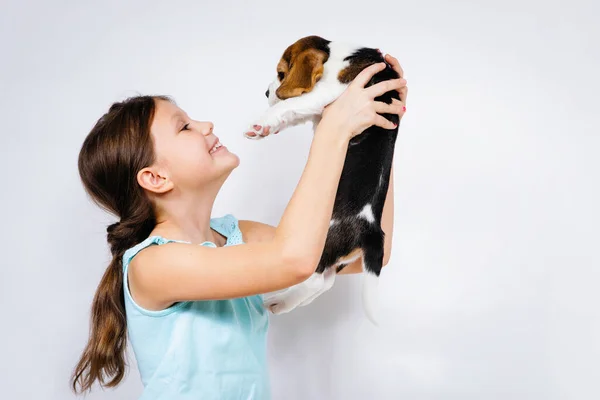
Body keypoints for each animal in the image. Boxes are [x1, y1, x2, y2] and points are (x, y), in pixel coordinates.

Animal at [246, 35, 400, 324]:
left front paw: (261, 122)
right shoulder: (319, 108)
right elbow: (294, 112)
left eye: (281, 73)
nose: (265, 93)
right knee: (325, 281)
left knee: (316, 279)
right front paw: (267, 128)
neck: (337, 55)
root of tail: (372, 229)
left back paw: (279, 300)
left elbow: (290, 104)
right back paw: (283, 302)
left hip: (321, 237)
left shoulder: (331, 91)